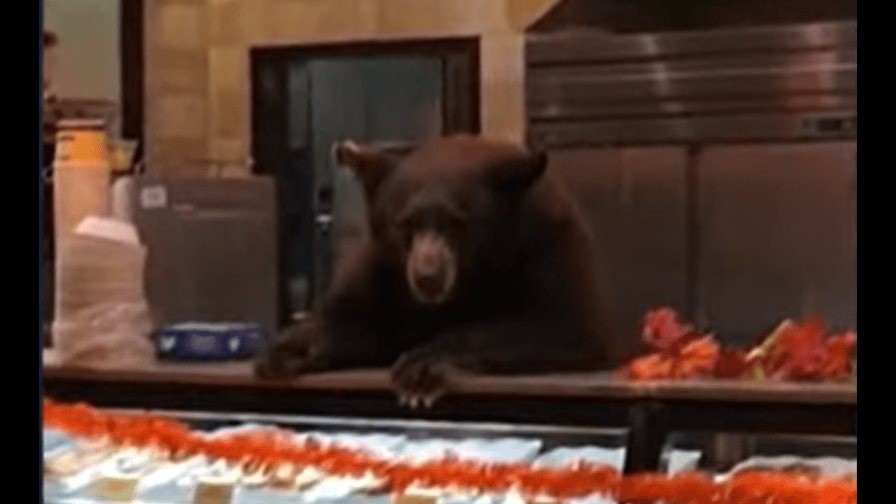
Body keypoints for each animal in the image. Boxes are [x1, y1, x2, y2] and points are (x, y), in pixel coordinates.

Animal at [255, 135, 620, 407]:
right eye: (407, 223)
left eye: (455, 223)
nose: (427, 276)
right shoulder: (383, 268)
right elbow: (359, 322)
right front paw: (291, 347)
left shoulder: (546, 245)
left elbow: (565, 325)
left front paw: (421, 368)